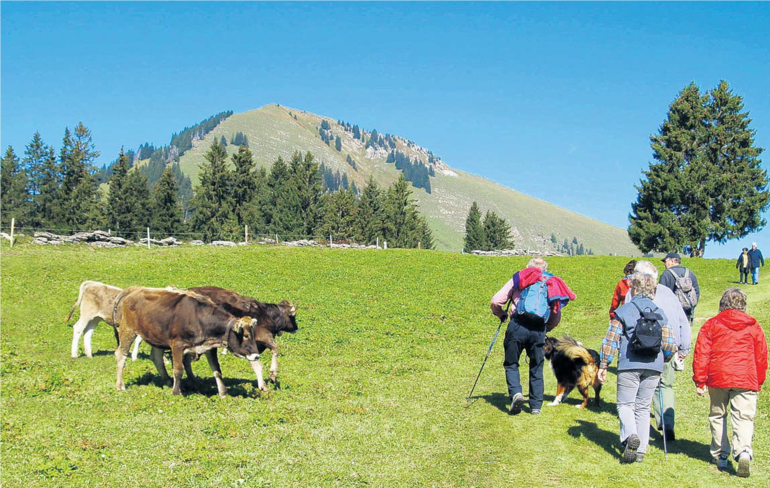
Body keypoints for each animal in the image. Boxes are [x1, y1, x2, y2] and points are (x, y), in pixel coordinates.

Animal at [112, 286, 260, 396]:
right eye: (246, 335)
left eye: (253, 335)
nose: (256, 356)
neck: (198, 317)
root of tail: (134, 289)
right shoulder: (177, 345)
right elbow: (178, 369)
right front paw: (176, 392)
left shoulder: (209, 347)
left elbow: (217, 370)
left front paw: (223, 393)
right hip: (128, 330)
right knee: (120, 355)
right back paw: (120, 385)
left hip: (156, 337)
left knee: (156, 357)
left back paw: (167, 381)